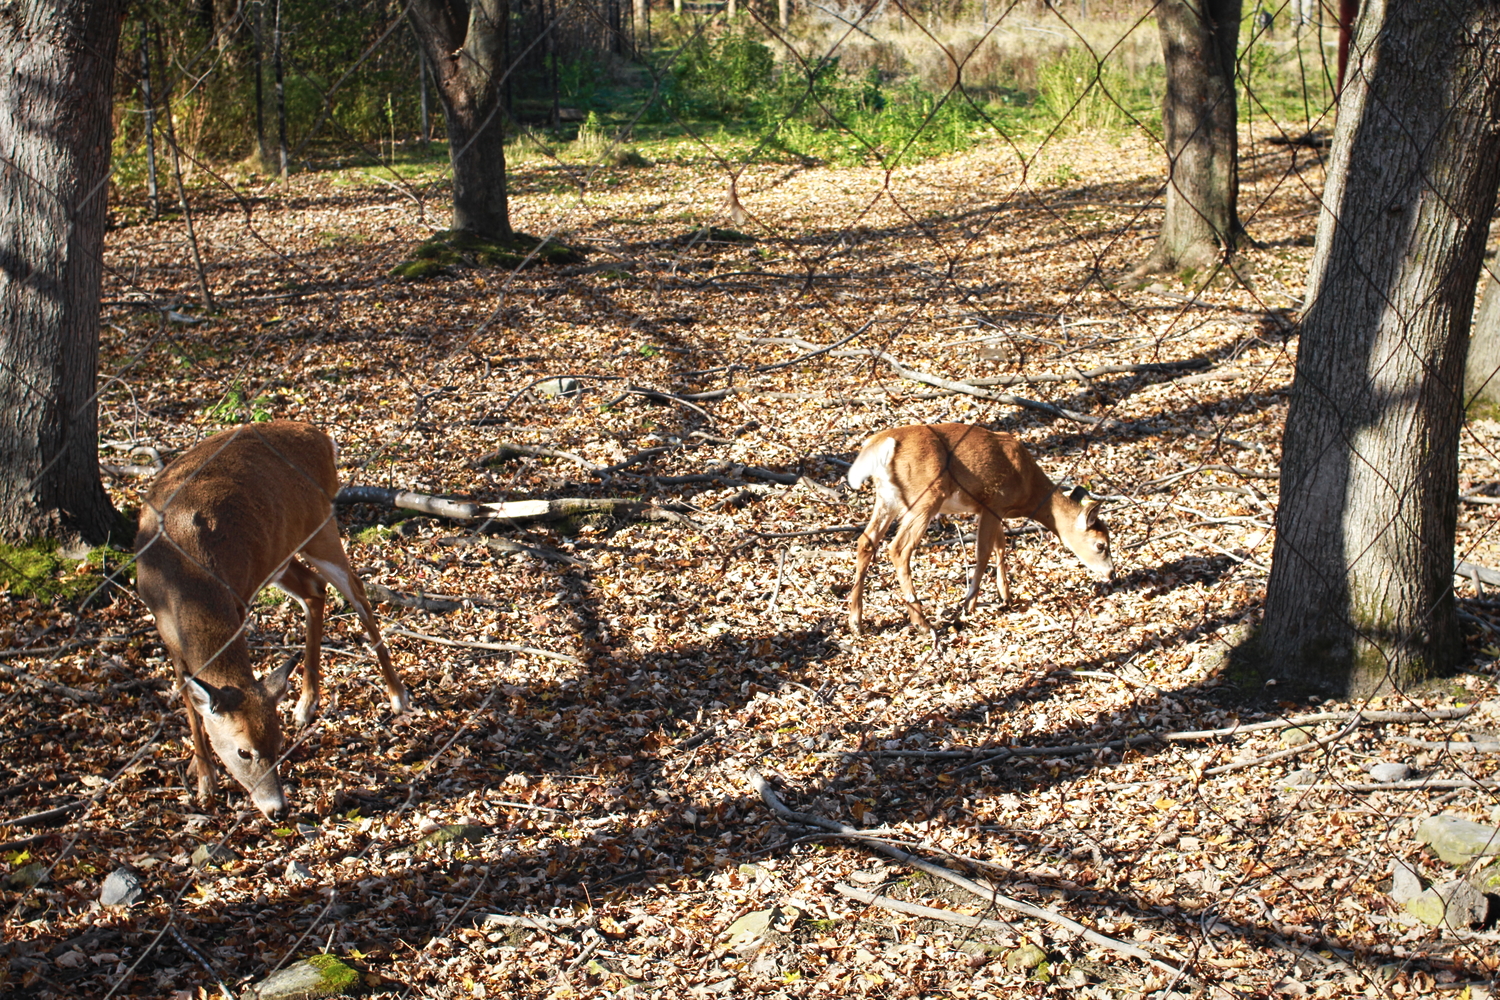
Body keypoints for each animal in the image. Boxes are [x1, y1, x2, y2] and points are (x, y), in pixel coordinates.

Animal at [131, 419, 405, 815]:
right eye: (243, 751)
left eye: (278, 745)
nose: (278, 808)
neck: (183, 580)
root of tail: (320, 437)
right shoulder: (164, 630)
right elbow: (190, 702)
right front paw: (204, 781)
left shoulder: (238, 602)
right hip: (279, 554)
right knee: (314, 588)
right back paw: (306, 704)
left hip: (319, 525)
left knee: (355, 590)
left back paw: (398, 697)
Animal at [846, 422, 1116, 632]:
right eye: (1101, 545)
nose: (1112, 574)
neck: (1029, 489)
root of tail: (883, 443)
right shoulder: (993, 502)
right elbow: (984, 551)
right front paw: (970, 604)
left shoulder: (993, 510)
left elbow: (1000, 546)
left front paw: (1006, 596)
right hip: (926, 494)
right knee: (899, 548)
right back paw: (921, 623)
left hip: (887, 497)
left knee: (866, 542)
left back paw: (856, 622)